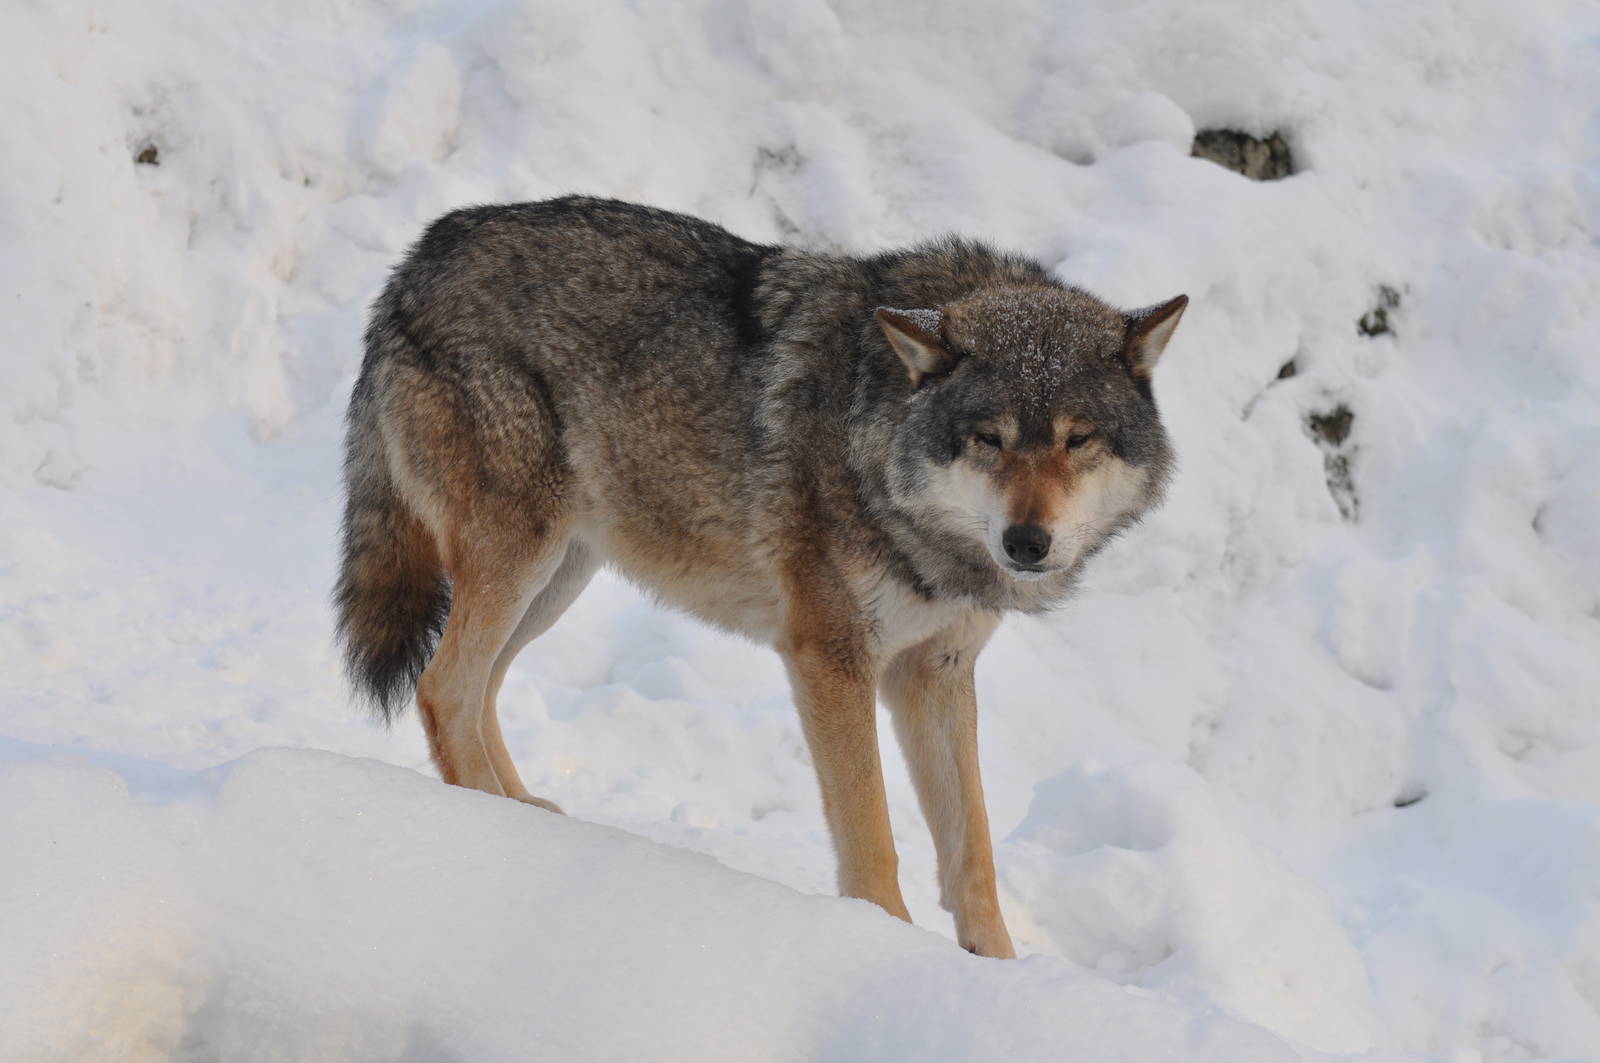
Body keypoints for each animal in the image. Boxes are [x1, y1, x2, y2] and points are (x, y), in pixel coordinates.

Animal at [335, 196, 1186, 958]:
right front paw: (882, 945)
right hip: (522, 559)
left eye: (1078, 439)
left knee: (480, 691)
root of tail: (421, 256)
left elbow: (971, 851)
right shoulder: (831, 656)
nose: (1027, 541)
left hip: (554, 581)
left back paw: (521, 815)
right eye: (990, 438)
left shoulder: (934, 670)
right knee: (443, 687)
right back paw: (487, 833)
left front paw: (997, 972)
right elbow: (873, 837)